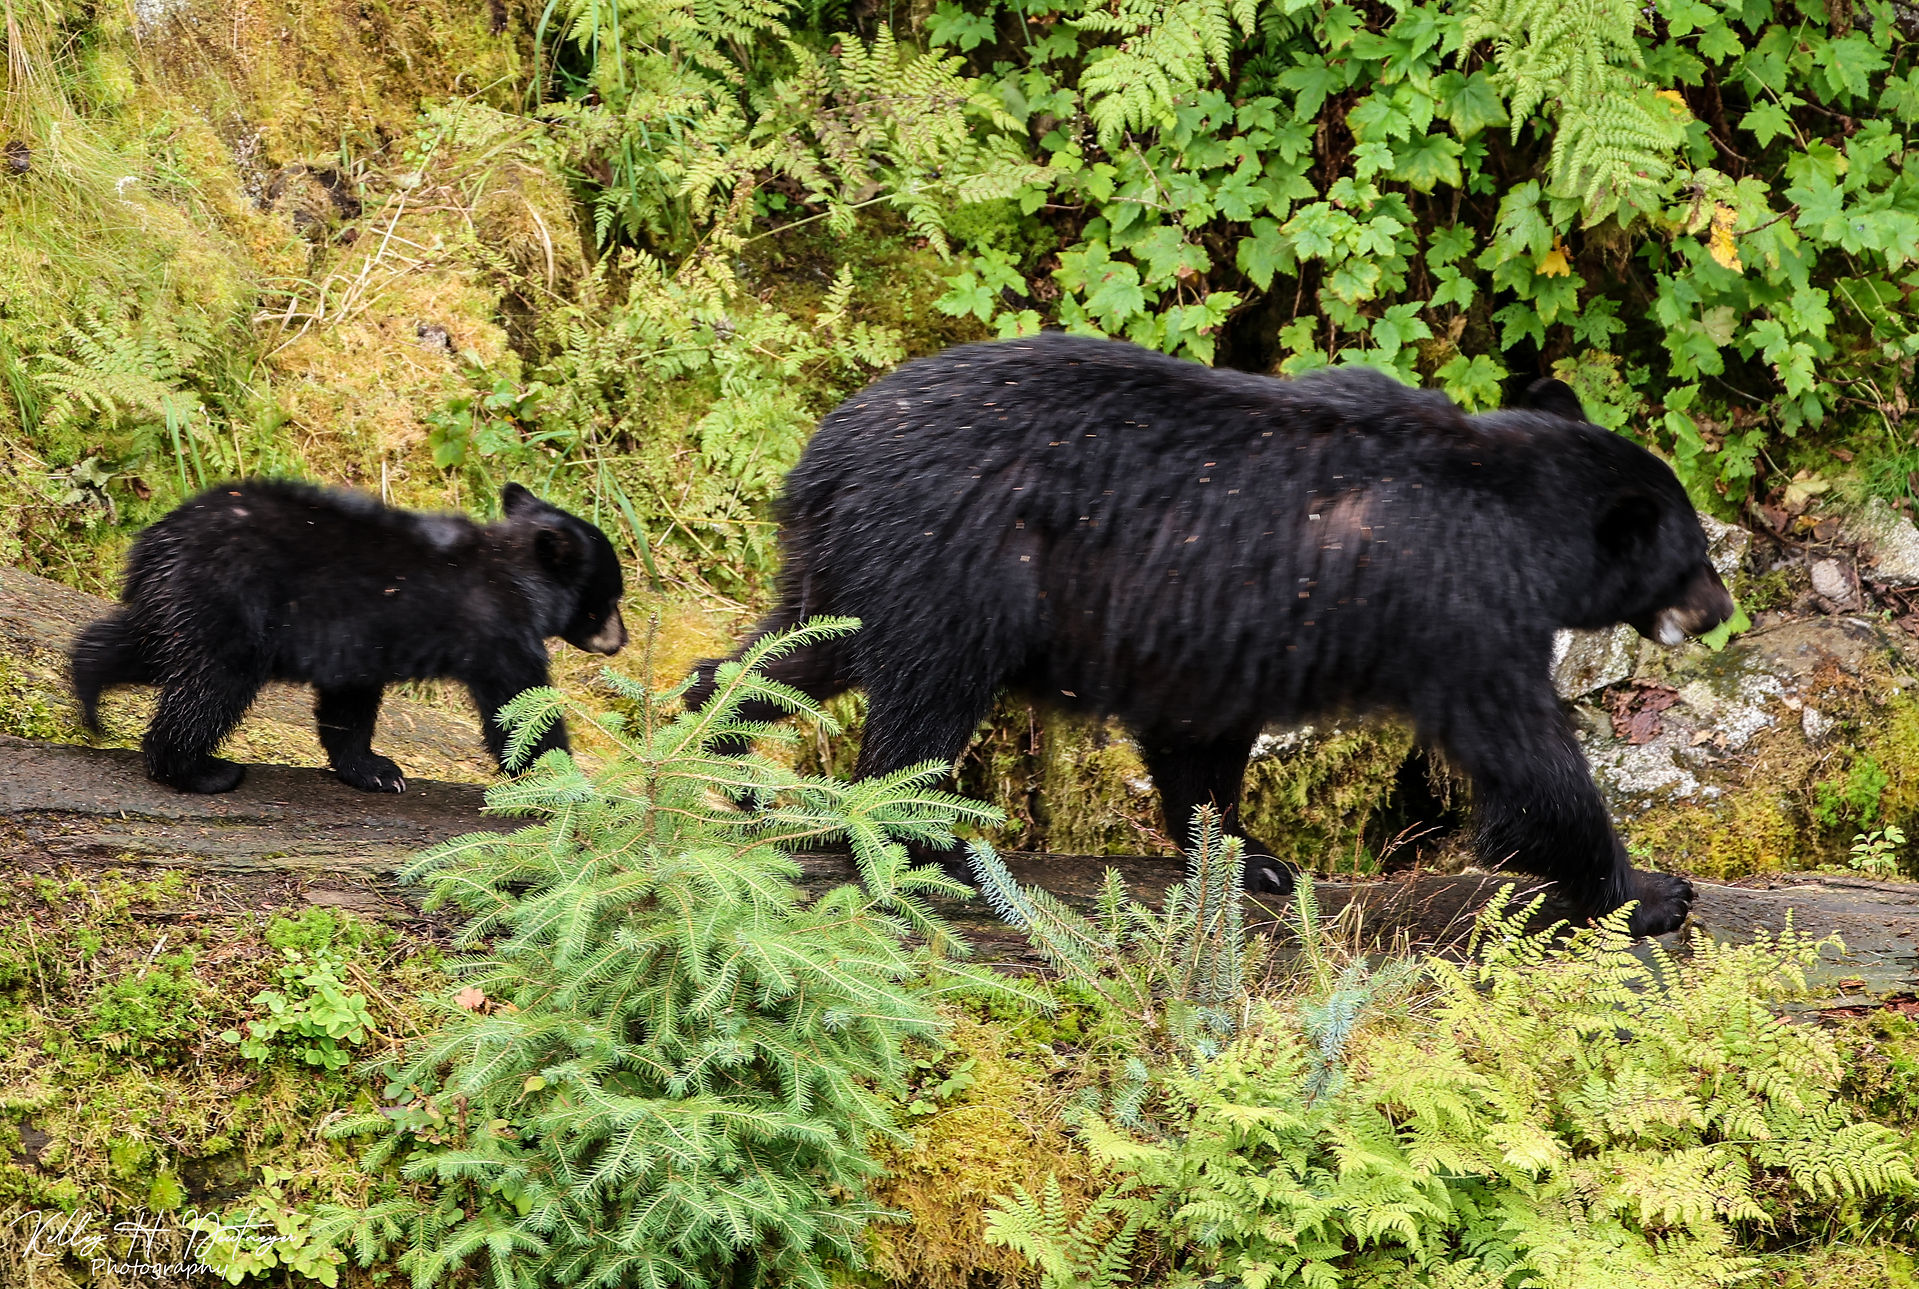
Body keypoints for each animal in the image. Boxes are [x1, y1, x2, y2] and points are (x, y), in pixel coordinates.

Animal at [71, 480, 627, 795]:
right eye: (611, 597)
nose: (620, 642)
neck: (510, 570)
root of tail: (156, 540)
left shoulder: (358, 638)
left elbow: (348, 705)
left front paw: (374, 770)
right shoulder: (496, 632)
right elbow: (520, 710)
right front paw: (568, 781)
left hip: (181, 604)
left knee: (144, 648)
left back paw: (88, 692)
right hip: (231, 605)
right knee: (209, 689)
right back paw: (199, 771)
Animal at [690, 332, 1734, 938]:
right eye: (1691, 554)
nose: (1720, 609)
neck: (1504, 498)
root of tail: (824, 456)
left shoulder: (1218, 631)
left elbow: (1198, 738)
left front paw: (1245, 852)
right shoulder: (1456, 611)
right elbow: (1527, 771)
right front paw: (1650, 890)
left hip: (855, 568)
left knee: (790, 652)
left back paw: (717, 752)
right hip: (951, 566)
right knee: (920, 707)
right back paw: (926, 842)